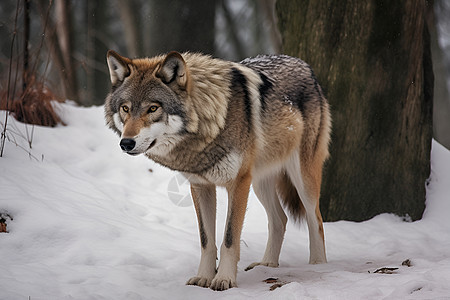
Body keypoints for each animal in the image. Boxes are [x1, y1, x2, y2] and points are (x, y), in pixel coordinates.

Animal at [104, 51, 330, 290]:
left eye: (153, 108)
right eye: (125, 108)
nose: (126, 143)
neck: (211, 120)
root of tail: (304, 65)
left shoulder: (238, 183)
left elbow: (229, 238)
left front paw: (224, 279)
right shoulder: (201, 186)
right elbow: (206, 240)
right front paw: (203, 277)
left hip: (301, 178)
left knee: (315, 220)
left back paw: (317, 265)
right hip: (259, 182)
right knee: (280, 220)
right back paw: (267, 265)